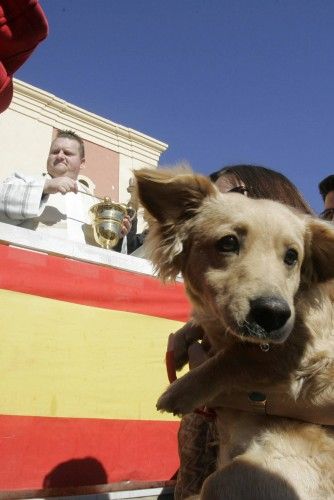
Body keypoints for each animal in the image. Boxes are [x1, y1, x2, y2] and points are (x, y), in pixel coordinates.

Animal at [135, 168, 334, 500]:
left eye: (292, 257)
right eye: (228, 243)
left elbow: (237, 355)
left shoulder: (308, 352)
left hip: (228, 478)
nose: (274, 314)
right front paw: (179, 345)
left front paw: (180, 391)